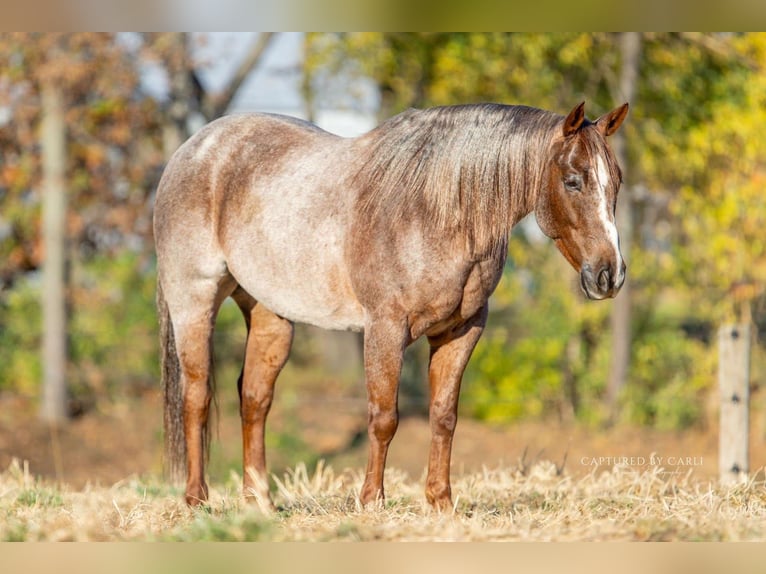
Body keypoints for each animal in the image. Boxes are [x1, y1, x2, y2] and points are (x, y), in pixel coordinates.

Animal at [152, 101, 632, 510]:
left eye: (617, 181)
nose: (609, 275)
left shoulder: (462, 330)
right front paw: (371, 502)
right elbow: (384, 417)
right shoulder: (385, 329)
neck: (435, 211)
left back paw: (260, 503)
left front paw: (440, 503)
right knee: (197, 395)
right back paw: (196, 500)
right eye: (573, 180)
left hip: (270, 314)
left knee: (254, 398)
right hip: (194, 301)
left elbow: (444, 416)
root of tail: (193, 149)